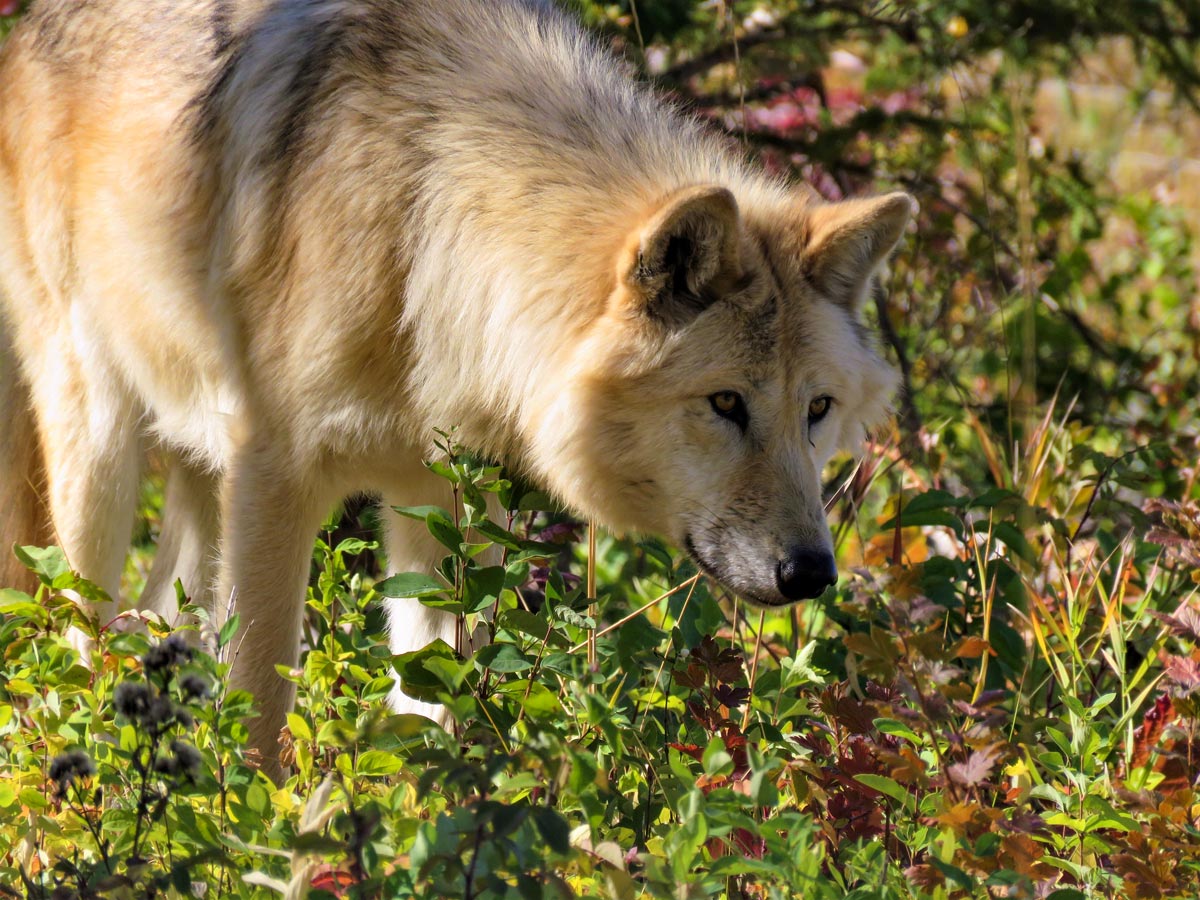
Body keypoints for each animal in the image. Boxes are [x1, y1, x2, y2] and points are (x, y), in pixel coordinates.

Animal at [0, 0, 907, 763]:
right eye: (724, 403)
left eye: (817, 409)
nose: (813, 574)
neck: (425, 238)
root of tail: (26, 30)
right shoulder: (273, 479)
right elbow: (259, 705)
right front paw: (255, 834)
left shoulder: (447, 512)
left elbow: (429, 722)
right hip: (98, 461)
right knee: (76, 644)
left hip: (192, 474)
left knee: (157, 620)